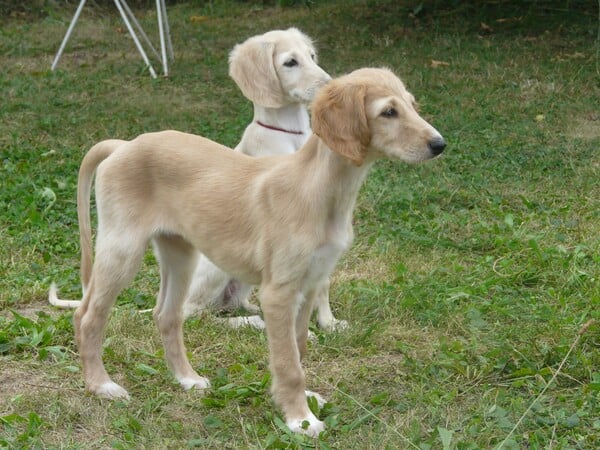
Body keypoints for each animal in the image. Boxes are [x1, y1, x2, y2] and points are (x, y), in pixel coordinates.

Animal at [56, 67, 446, 436]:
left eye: (412, 104)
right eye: (388, 112)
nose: (440, 144)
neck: (320, 190)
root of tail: (124, 144)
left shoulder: (308, 285)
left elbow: (299, 347)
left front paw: (304, 401)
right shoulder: (278, 292)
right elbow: (288, 364)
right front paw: (300, 419)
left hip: (180, 254)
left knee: (166, 315)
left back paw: (187, 378)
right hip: (122, 248)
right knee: (87, 316)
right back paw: (101, 385)